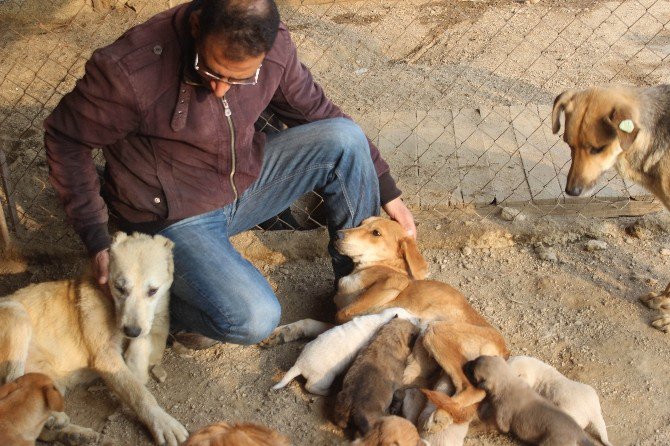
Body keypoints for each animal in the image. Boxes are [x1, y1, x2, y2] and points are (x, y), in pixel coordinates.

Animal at [0, 232, 188, 444]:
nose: (130, 331)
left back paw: (72, 433)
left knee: (37, 425)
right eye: (120, 288)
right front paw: (162, 422)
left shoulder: (157, 332)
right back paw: (58, 421)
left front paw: (135, 365)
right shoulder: (105, 356)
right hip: (17, 314)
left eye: (153, 290)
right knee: (12, 385)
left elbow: (143, 344)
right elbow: (138, 393)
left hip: (52, 382)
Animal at [270, 306, 418, 398]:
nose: (418, 319)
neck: (380, 319)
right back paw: (327, 392)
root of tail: (299, 364)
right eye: (409, 319)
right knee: (310, 386)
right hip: (324, 378)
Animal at [462, 356, 592, 446]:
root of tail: (579, 433)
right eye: (475, 359)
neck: (508, 382)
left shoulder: (502, 412)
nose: (464, 364)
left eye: (472, 371)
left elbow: (500, 425)